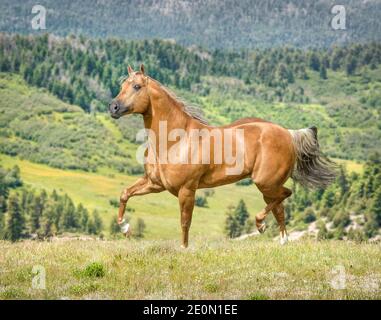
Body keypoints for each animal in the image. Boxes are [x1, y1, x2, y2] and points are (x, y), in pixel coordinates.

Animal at [107, 63, 336, 246]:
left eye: (137, 87)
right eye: (122, 86)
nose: (113, 107)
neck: (175, 141)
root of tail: (288, 133)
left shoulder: (187, 190)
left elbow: (185, 222)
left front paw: (183, 249)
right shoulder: (154, 184)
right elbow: (125, 194)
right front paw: (125, 228)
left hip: (265, 182)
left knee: (285, 195)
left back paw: (260, 224)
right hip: (268, 186)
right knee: (280, 208)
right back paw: (281, 241)